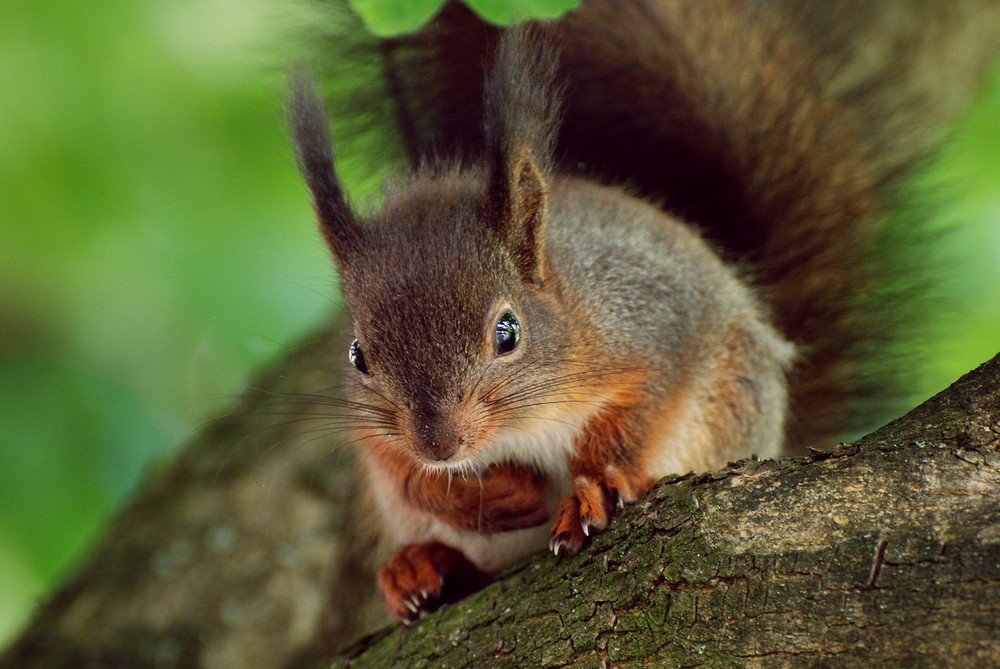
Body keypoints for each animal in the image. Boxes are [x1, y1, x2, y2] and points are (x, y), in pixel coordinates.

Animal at [286, 1, 1000, 628]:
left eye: (507, 332)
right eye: (358, 355)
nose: (441, 445)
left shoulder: (655, 321)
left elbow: (644, 407)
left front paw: (595, 484)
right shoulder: (377, 433)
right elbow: (399, 472)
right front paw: (477, 495)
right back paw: (419, 566)